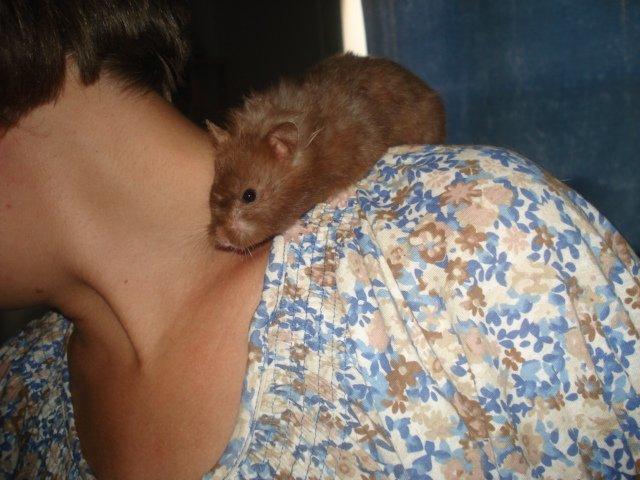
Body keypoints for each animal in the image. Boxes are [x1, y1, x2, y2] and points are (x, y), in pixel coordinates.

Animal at [207, 53, 445, 251]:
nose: (221, 239)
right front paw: (295, 230)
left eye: (249, 196)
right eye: (213, 189)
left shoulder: (363, 142)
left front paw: (336, 200)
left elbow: (350, 176)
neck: (314, 149)